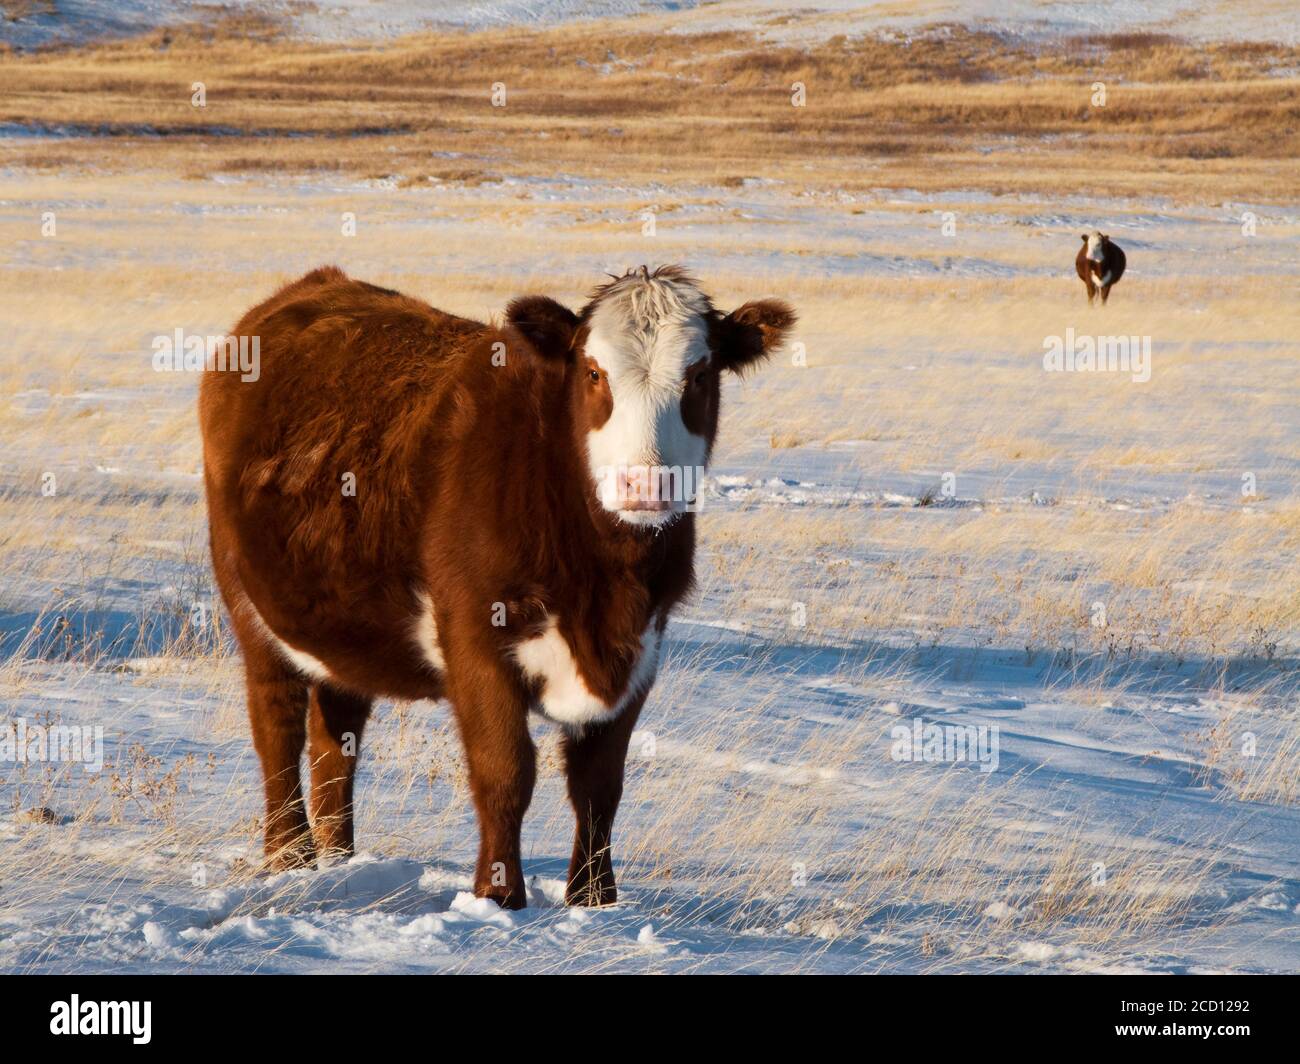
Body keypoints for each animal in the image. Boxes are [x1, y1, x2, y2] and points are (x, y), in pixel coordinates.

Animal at [199, 264, 795, 909]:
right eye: (594, 373)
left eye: (699, 374)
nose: (645, 484)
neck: (606, 582)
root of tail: (311, 287)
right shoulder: (474, 636)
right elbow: (505, 770)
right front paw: (499, 895)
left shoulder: (645, 645)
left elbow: (600, 783)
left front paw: (594, 900)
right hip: (248, 603)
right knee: (276, 727)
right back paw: (290, 858)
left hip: (342, 624)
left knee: (336, 737)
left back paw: (339, 862)